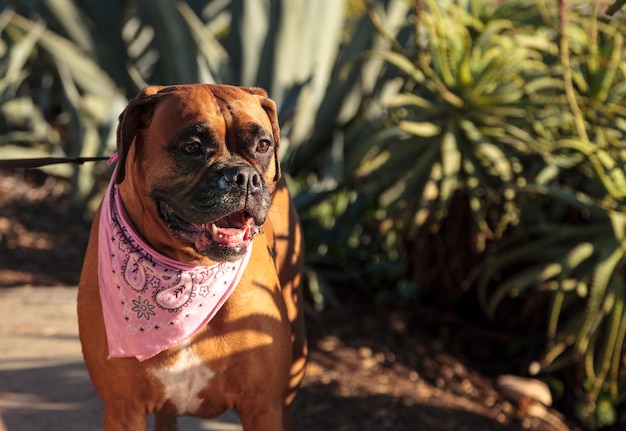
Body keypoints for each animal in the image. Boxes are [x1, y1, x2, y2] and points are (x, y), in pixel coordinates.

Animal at [77, 84, 306, 431]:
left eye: (263, 145)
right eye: (193, 147)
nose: (244, 177)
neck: (187, 272)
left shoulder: (262, 406)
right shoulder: (124, 410)